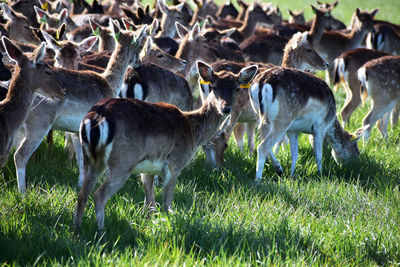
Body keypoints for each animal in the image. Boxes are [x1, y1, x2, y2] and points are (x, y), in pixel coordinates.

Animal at [12, 21, 148, 193]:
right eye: (138, 45)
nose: (139, 62)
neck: (110, 83)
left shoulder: (76, 130)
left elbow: (79, 158)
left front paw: (79, 184)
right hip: (39, 124)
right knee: (20, 155)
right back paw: (23, 192)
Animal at [73, 59, 258, 231]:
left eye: (237, 88)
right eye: (213, 87)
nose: (226, 108)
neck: (192, 129)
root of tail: (95, 119)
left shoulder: (147, 169)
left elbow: (150, 205)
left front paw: (149, 225)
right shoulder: (174, 164)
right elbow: (166, 205)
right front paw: (167, 226)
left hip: (92, 159)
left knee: (82, 194)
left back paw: (78, 229)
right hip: (122, 161)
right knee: (99, 195)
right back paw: (101, 231)